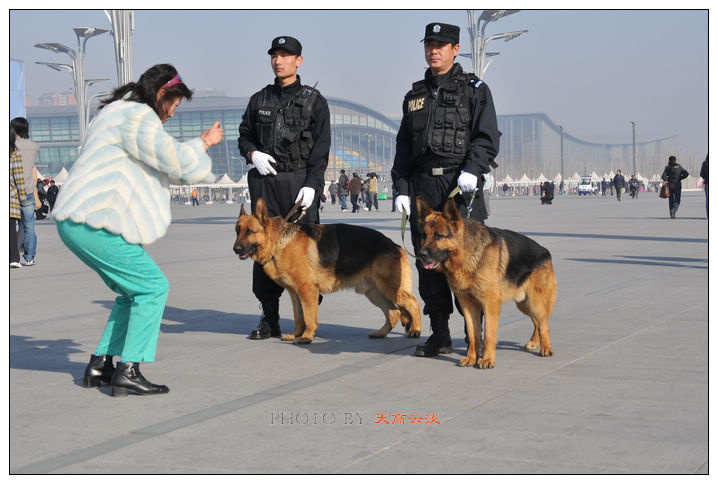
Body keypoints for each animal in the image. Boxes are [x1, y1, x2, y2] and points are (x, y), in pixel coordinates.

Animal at [233, 198, 422, 344]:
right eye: (237, 231)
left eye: (250, 232)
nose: (235, 249)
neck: (279, 241)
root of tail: (395, 246)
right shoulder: (295, 293)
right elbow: (298, 316)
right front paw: (296, 334)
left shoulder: (307, 291)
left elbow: (309, 316)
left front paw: (307, 336)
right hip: (374, 292)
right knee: (394, 312)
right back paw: (381, 333)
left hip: (390, 289)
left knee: (413, 304)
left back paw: (416, 330)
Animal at [416, 197, 556, 366]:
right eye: (424, 235)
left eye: (438, 236)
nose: (420, 254)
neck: (466, 255)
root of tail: (545, 251)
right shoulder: (468, 306)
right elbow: (473, 335)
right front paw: (472, 358)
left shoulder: (490, 304)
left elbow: (489, 335)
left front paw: (488, 359)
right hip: (523, 303)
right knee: (537, 321)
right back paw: (535, 342)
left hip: (534, 302)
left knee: (543, 323)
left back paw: (546, 347)